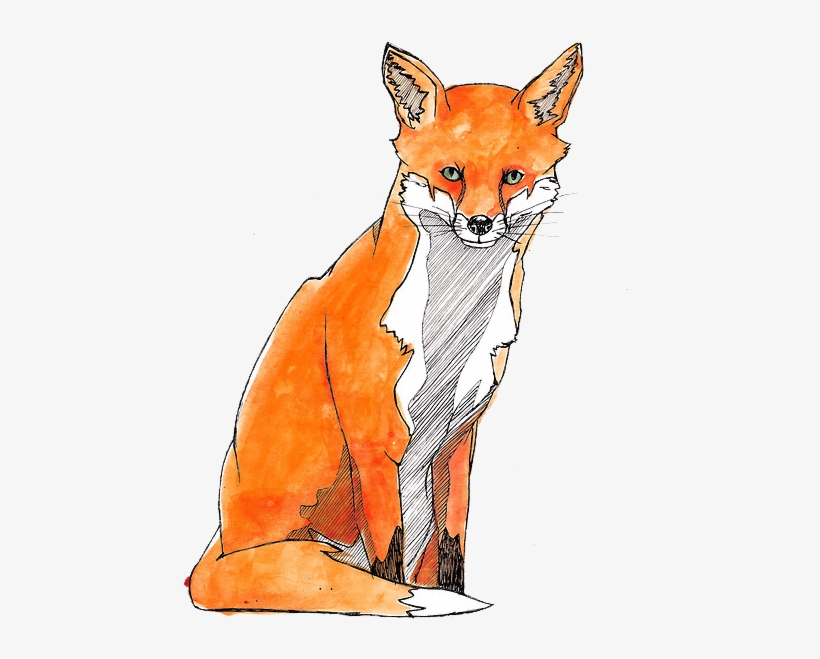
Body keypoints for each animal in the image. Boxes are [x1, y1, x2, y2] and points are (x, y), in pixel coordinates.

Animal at [188, 42, 583, 617]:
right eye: (451, 173)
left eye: (512, 177)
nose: (481, 223)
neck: (452, 325)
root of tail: (212, 554)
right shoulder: (375, 440)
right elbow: (387, 564)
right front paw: (410, 601)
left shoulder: (459, 438)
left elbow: (453, 547)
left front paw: (453, 594)